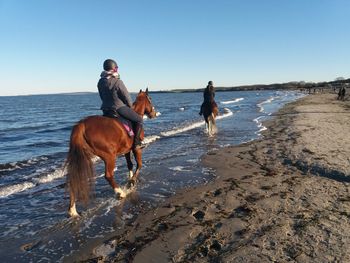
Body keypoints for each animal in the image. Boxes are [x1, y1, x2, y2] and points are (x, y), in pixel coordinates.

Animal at [65, 89, 156, 218]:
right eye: (150, 99)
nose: (154, 113)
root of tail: (82, 124)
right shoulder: (136, 149)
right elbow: (139, 164)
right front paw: (132, 181)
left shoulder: (126, 150)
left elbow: (130, 165)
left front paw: (130, 180)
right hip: (109, 156)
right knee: (108, 175)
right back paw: (120, 193)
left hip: (82, 158)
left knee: (74, 179)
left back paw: (72, 210)